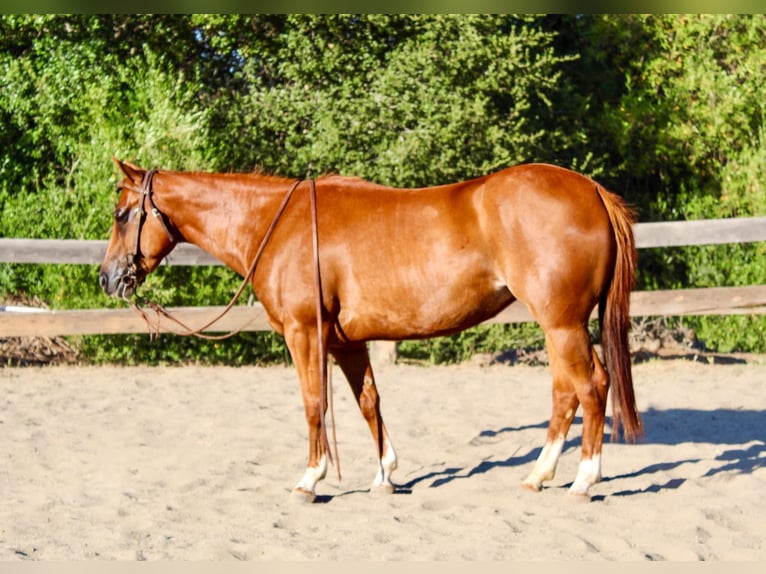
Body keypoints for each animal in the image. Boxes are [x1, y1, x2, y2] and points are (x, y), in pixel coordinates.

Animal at [99, 158, 641, 502]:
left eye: (123, 215)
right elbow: (368, 403)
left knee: (592, 387)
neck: (280, 226)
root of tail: (591, 190)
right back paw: (539, 475)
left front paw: (311, 479)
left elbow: (314, 404)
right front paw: (385, 475)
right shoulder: (346, 343)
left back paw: (584, 480)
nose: (108, 278)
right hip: (556, 326)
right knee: (565, 393)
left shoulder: (304, 335)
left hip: (562, 324)